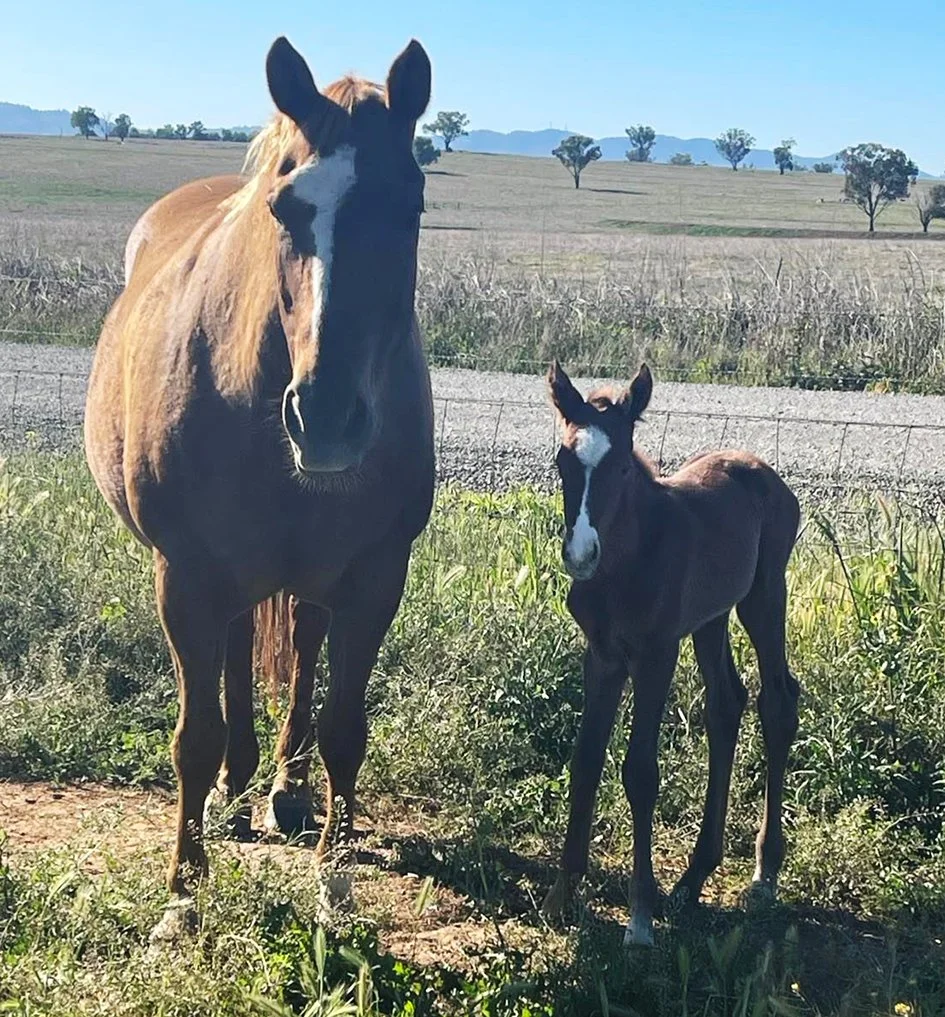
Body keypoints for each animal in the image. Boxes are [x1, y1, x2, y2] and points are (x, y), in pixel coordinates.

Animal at [84, 35, 435, 940]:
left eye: (410, 207)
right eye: (285, 208)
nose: (327, 418)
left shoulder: (376, 577)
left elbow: (344, 728)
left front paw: (335, 883)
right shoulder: (182, 575)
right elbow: (192, 735)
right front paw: (183, 891)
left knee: (301, 650)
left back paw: (281, 786)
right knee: (239, 653)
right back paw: (236, 790)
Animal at [541, 361, 801, 947]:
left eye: (621, 467)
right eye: (564, 461)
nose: (580, 554)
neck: (627, 560)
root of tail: (760, 469)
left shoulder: (656, 654)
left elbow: (640, 771)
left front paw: (639, 918)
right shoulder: (603, 656)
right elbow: (586, 759)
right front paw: (561, 896)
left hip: (764, 596)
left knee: (777, 701)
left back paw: (764, 871)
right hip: (710, 618)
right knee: (726, 704)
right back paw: (693, 877)